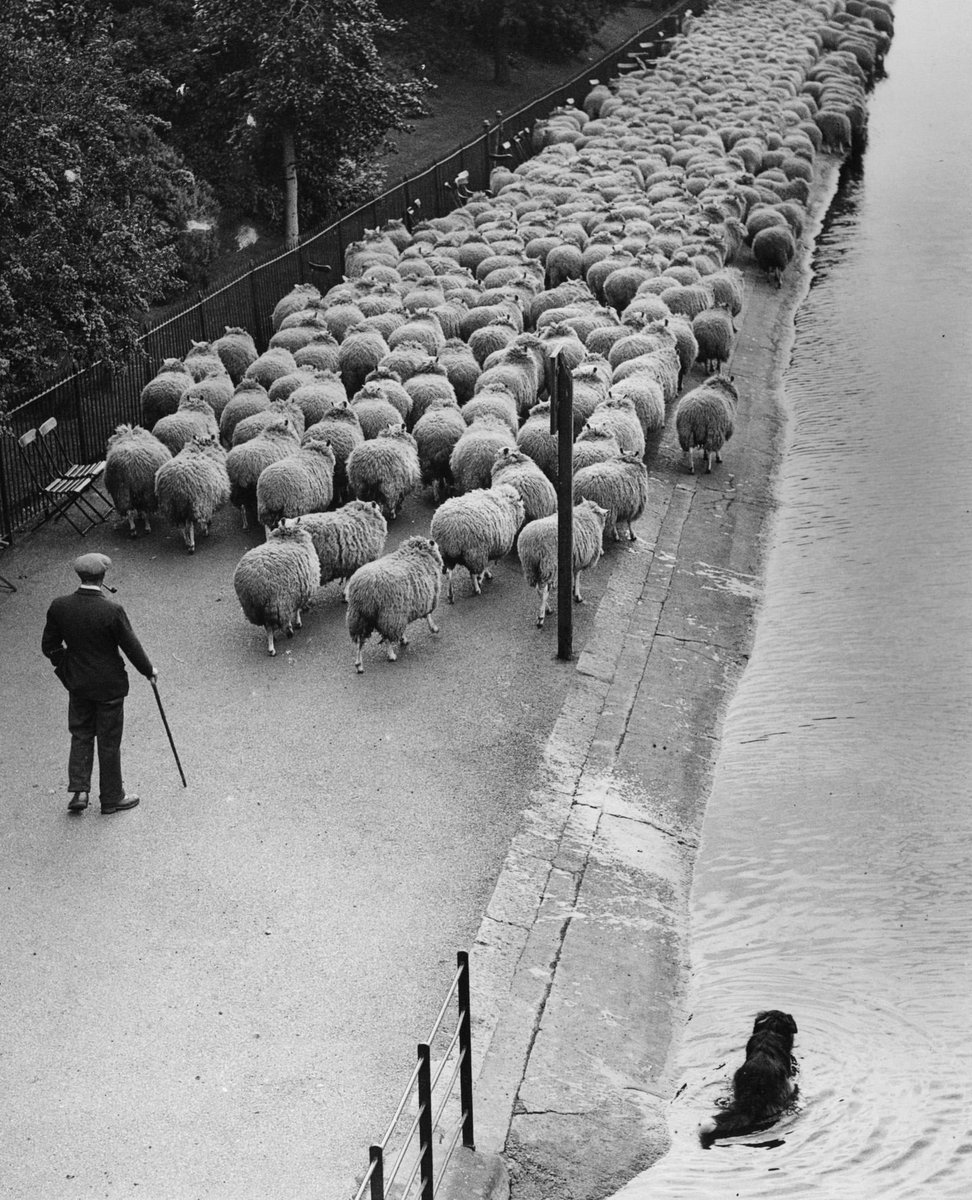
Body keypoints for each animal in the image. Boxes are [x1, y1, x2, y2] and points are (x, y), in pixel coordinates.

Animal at [231, 520, 319, 657]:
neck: (286, 538)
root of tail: (252, 585)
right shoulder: (295, 593)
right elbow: (296, 610)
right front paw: (297, 623)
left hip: (256, 608)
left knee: (267, 626)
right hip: (274, 603)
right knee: (269, 626)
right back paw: (274, 646)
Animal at [345, 537, 444, 676]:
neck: (418, 553)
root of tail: (362, 589)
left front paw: (404, 638)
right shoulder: (427, 597)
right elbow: (428, 615)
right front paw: (434, 628)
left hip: (359, 617)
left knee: (359, 641)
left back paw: (359, 665)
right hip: (388, 614)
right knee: (386, 636)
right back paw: (391, 655)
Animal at [516, 496, 604, 628]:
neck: (587, 513)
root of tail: (531, 542)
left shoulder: (574, 559)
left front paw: (573, 589)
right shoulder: (581, 559)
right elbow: (577, 576)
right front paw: (577, 595)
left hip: (531, 567)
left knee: (538, 589)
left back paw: (547, 609)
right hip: (549, 565)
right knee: (543, 590)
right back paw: (541, 617)